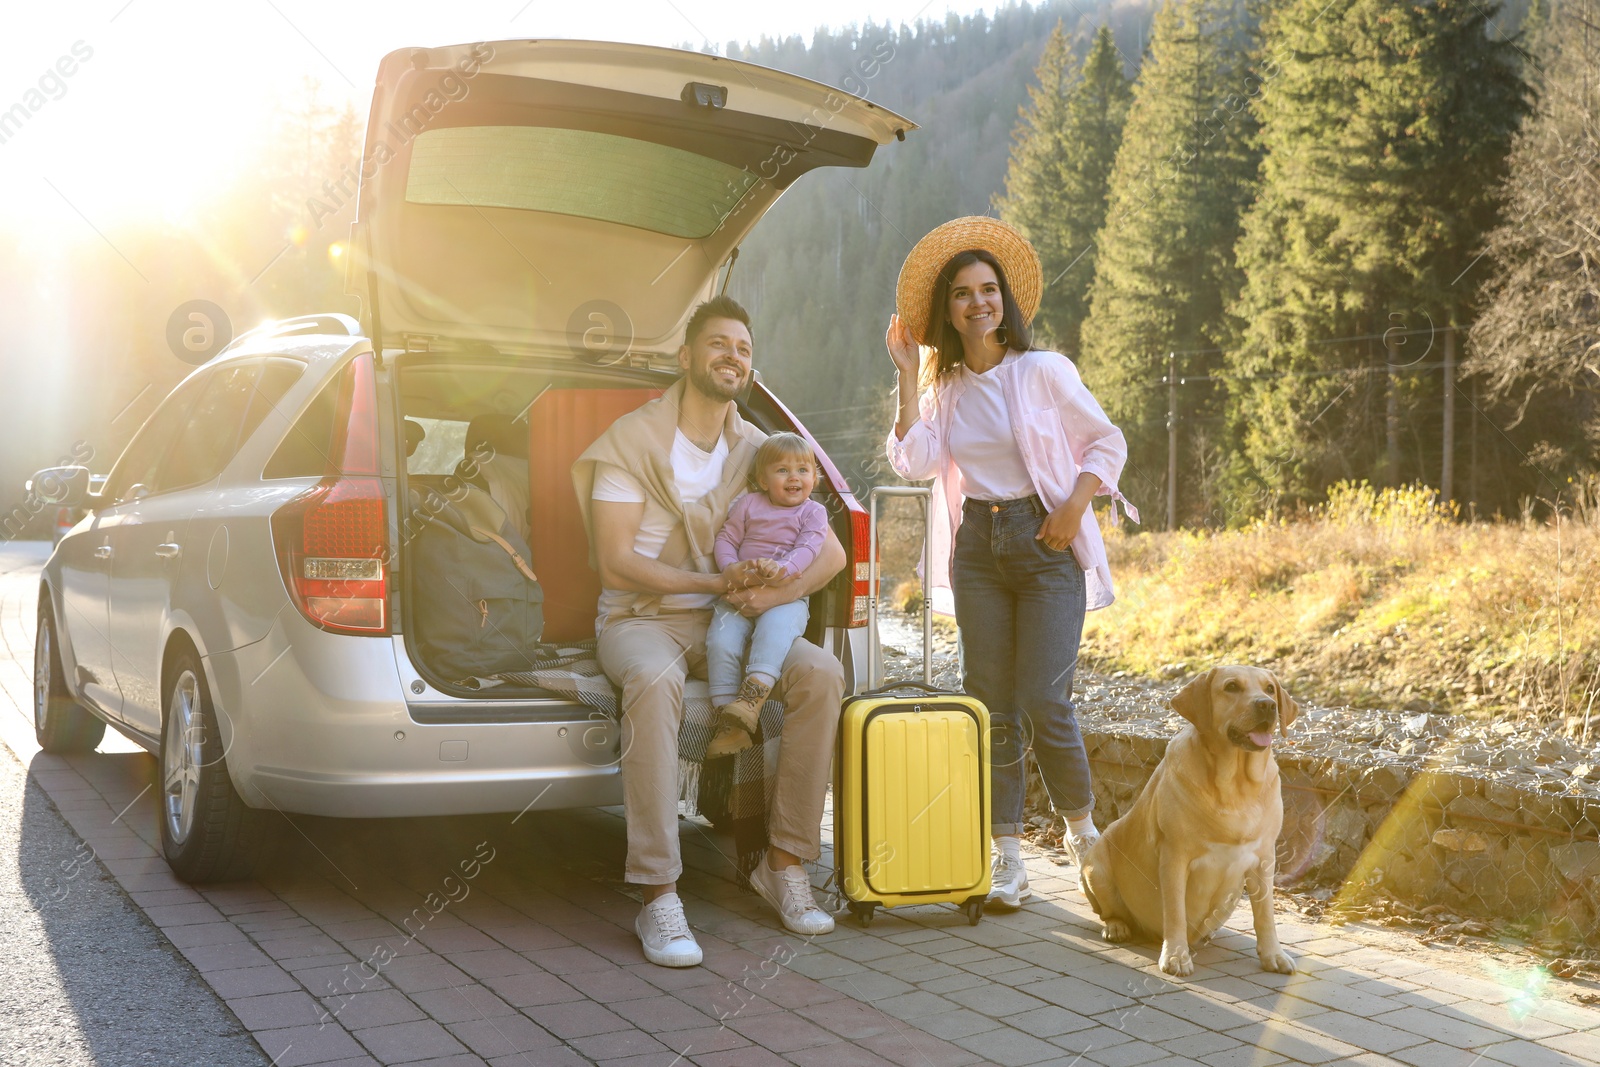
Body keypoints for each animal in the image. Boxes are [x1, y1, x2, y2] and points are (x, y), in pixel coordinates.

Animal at [1081, 668, 1292, 979]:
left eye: (1269, 688)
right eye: (1231, 686)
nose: (1267, 705)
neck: (1234, 786)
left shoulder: (1264, 858)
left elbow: (1265, 914)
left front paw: (1273, 955)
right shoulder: (1174, 857)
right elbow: (1175, 912)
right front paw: (1176, 956)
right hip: (1096, 867)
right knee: (1107, 911)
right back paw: (1117, 926)